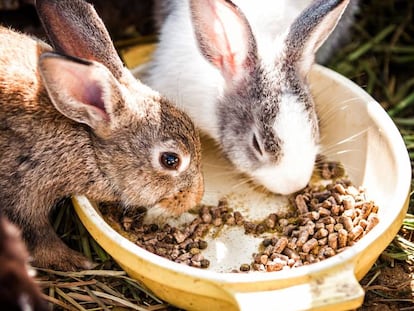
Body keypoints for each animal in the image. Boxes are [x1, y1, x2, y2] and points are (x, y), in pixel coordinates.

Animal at [0, 0, 204, 272]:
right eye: (170, 160)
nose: (197, 196)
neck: (87, 140)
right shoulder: (21, 193)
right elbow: (38, 238)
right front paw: (75, 260)